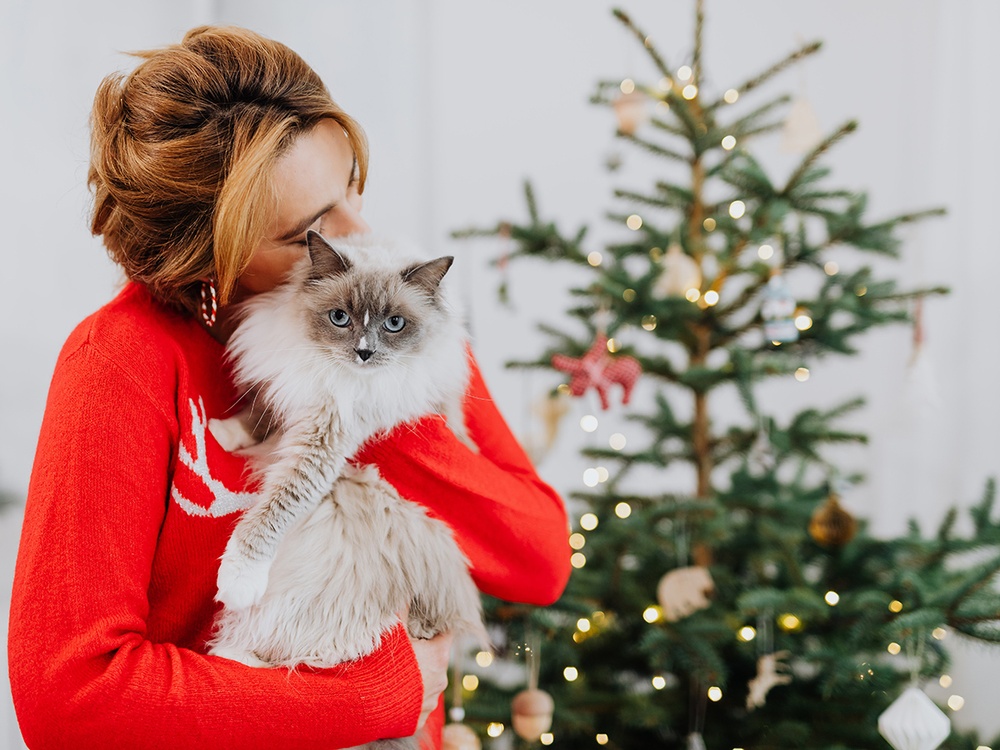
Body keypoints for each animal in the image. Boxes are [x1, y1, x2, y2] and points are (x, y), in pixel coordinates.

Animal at [210, 232, 488, 748]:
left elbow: (272, 512)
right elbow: (257, 416)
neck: (333, 374)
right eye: (340, 317)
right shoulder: (294, 388)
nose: (364, 352)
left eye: (395, 324)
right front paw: (224, 433)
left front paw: (236, 580)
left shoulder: (324, 441)